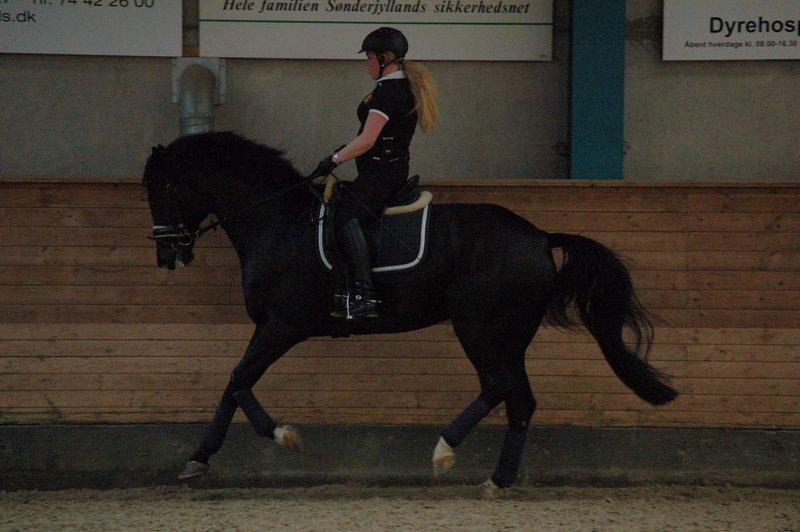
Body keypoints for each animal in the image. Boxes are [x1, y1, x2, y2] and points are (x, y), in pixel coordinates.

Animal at [142, 131, 676, 492]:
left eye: (162, 190)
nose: (167, 255)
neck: (278, 221)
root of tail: (541, 237)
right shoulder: (270, 328)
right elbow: (234, 382)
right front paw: (199, 458)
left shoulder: (283, 326)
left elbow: (237, 378)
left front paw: (281, 436)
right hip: (508, 335)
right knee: (519, 400)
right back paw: (497, 481)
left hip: (480, 327)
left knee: (497, 386)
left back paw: (445, 451)